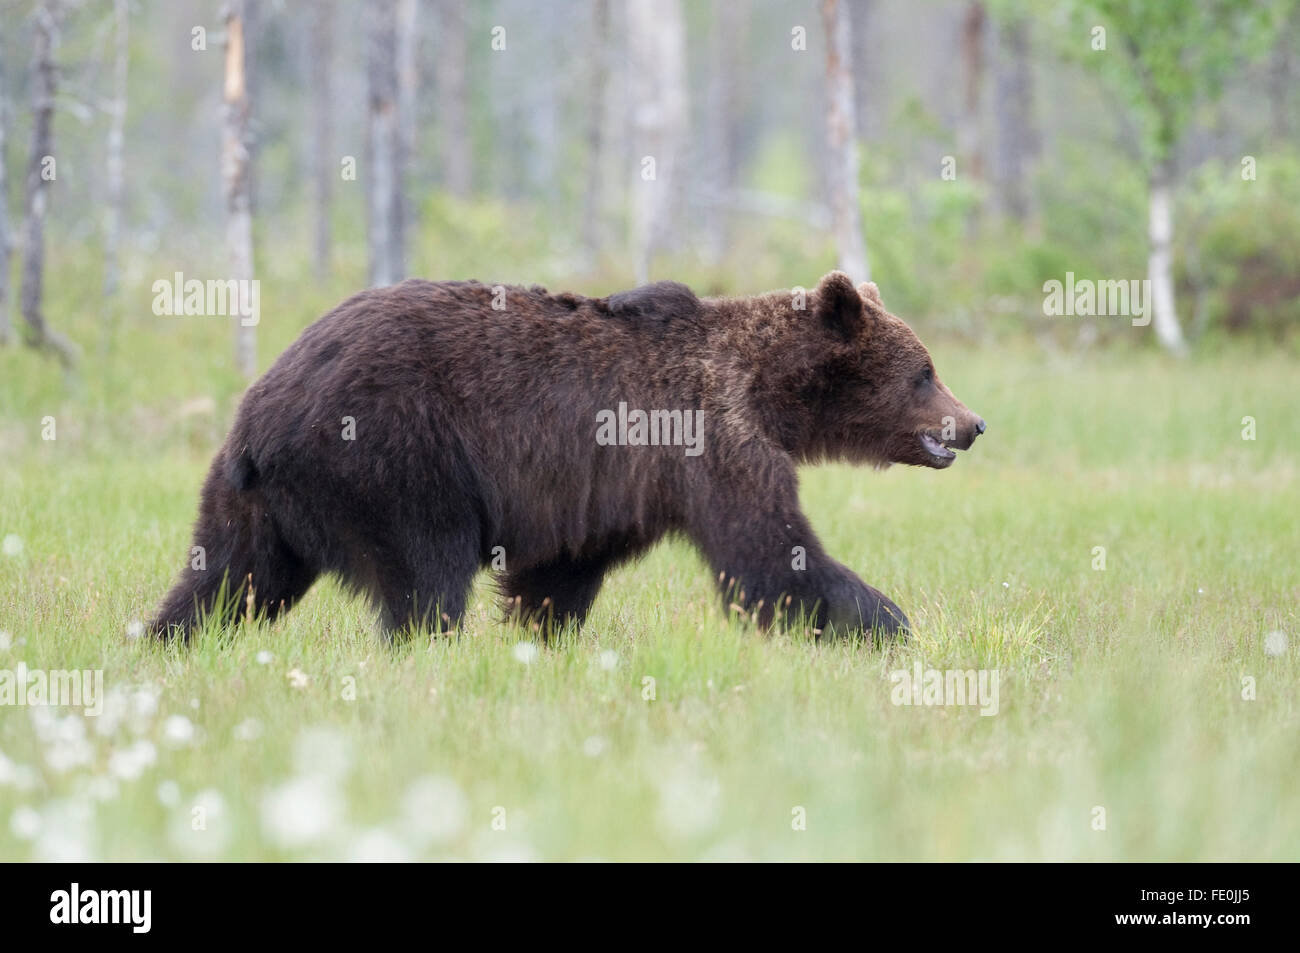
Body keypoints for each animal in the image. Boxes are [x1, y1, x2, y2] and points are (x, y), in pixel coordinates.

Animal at [150, 271, 984, 642]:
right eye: (924, 371)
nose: (973, 422)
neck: (771, 391)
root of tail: (266, 413)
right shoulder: (714, 439)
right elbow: (773, 558)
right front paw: (892, 622)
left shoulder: (608, 487)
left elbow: (561, 568)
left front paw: (541, 629)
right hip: (393, 454)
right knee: (426, 573)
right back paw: (426, 645)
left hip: (252, 496)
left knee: (229, 578)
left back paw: (169, 640)